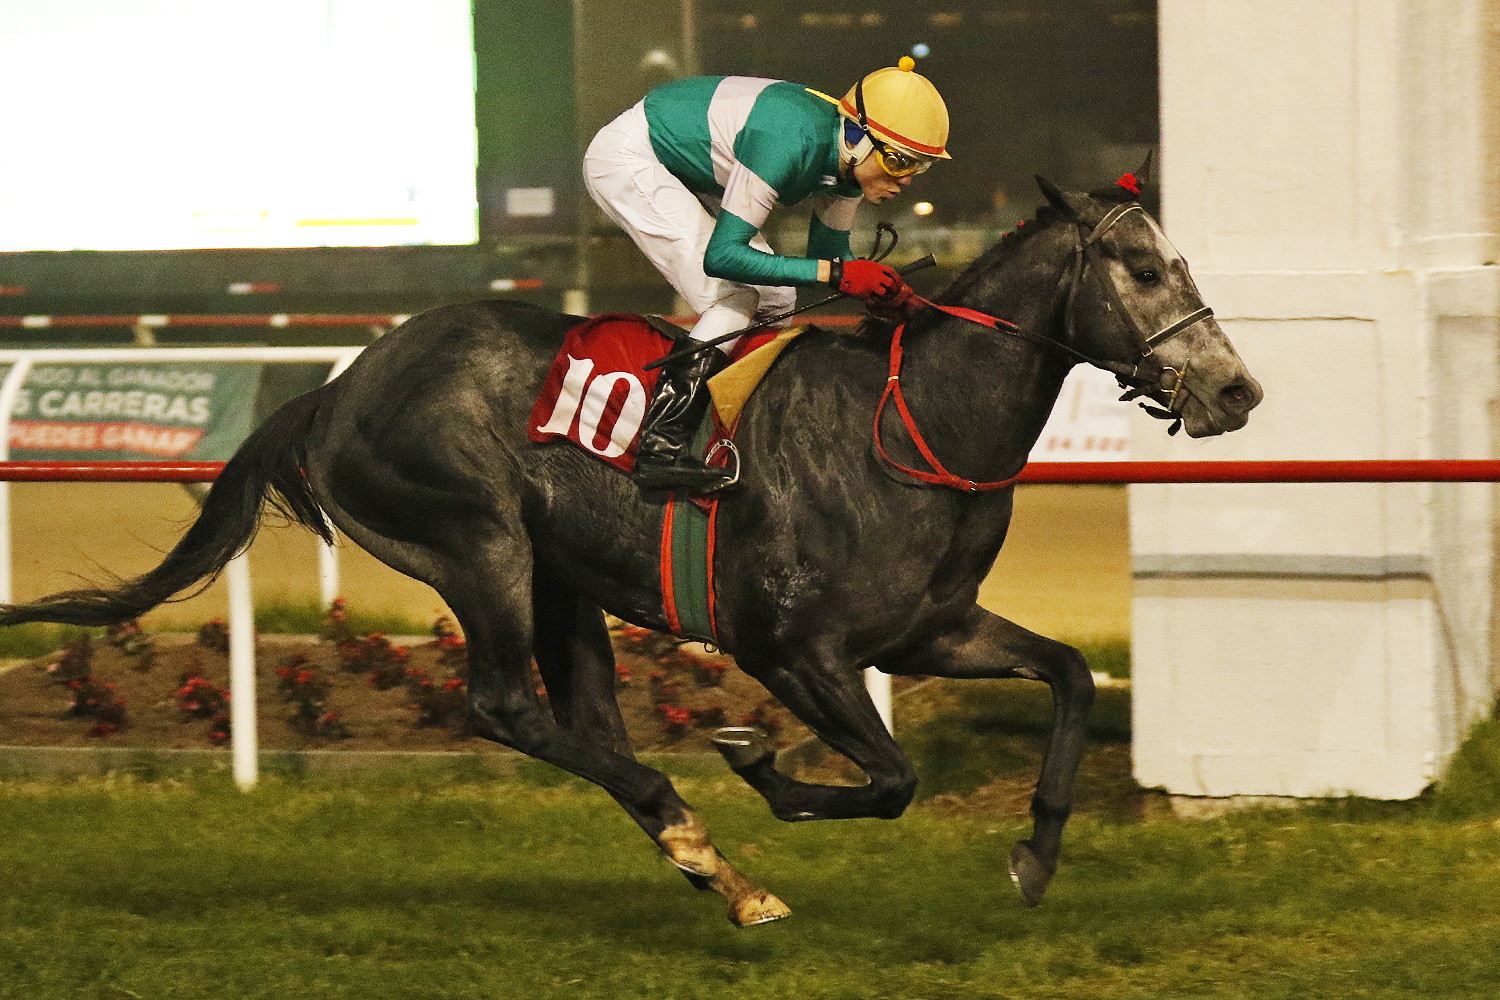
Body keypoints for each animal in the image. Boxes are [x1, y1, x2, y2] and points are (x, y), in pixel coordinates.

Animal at [0, 167, 1261, 927]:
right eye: (1142, 266)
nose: (1236, 388)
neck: (912, 422)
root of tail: (339, 386)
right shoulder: (790, 647)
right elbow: (891, 777)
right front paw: (757, 762)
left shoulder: (930, 631)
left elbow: (1070, 675)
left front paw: (1038, 851)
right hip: (480, 544)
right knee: (508, 707)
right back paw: (694, 821)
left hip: (562, 579)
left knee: (584, 722)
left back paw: (714, 866)